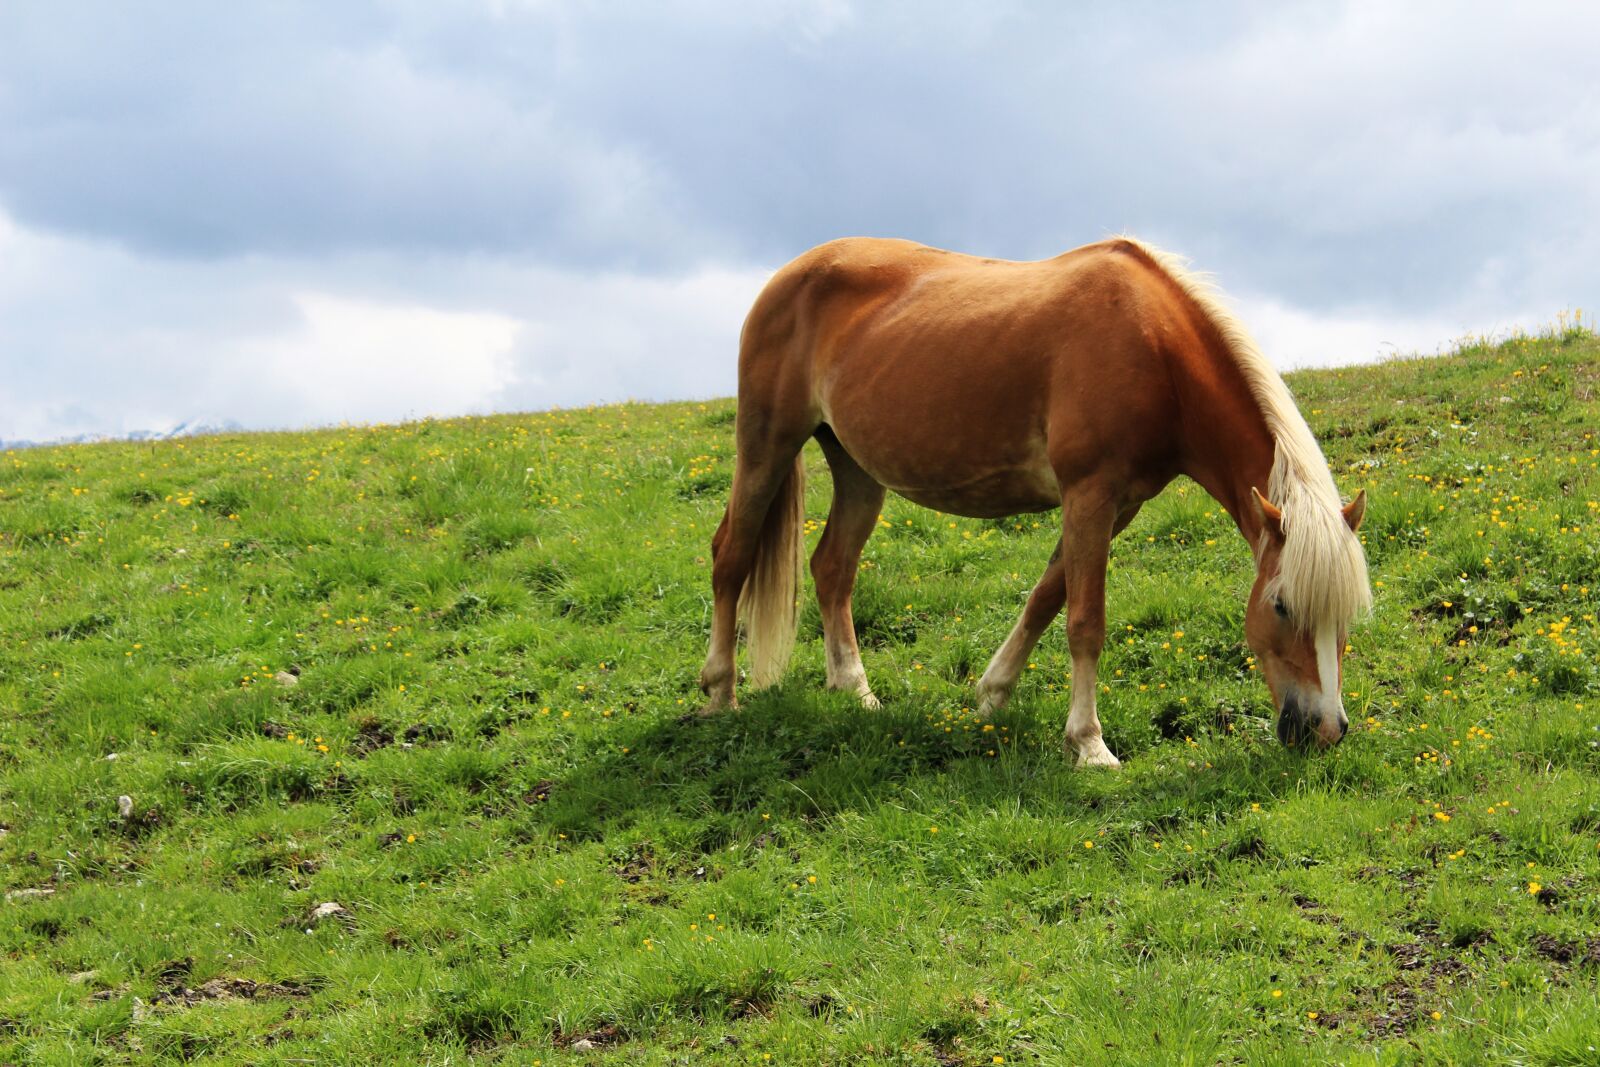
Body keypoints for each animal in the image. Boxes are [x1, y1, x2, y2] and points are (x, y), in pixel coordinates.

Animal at [697, 236, 1370, 767]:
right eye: (1281, 606)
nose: (1326, 730)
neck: (1154, 349)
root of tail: (790, 274)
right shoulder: (1089, 493)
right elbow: (1085, 620)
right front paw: (1089, 744)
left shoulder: (1115, 505)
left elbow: (1048, 597)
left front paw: (992, 693)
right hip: (767, 445)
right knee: (731, 557)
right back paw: (720, 693)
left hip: (858, 471)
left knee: (832, 568)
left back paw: (855, 691)